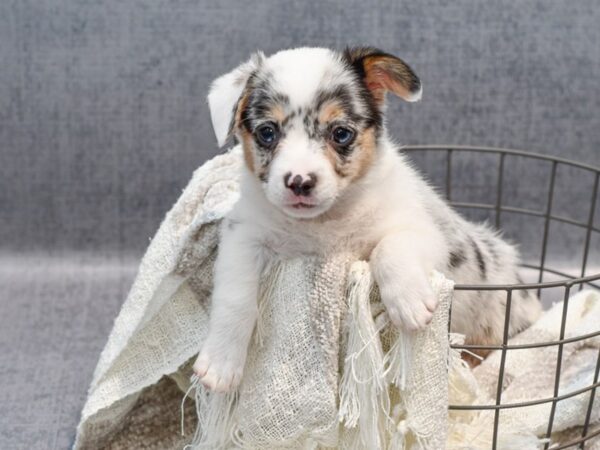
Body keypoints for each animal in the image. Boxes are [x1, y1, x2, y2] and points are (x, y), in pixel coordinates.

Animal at [193, 47, 544, 392]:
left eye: (341, 133)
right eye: (267, 132)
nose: (299, 182)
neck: (322, 223)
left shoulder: (423, 231)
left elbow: (388, 249)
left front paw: (409, 302)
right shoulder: (243, 238)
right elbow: (234, 297)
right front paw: (221, 362)